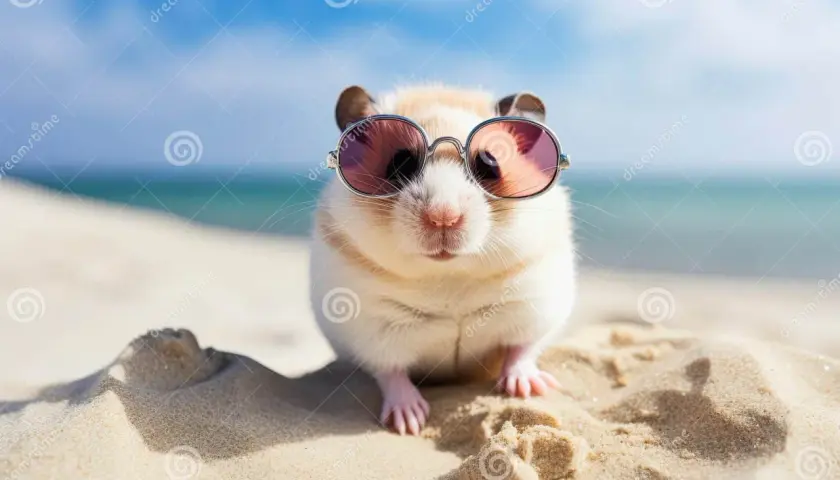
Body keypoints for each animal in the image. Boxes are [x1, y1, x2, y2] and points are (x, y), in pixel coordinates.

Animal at [309, 84, 576, 435]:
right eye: (400, 164)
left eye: (489, 164)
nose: (443, 217)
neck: (449, 275)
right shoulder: (372, 326)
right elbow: (390, 371)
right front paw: (409, 423)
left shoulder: (533, 305)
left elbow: (523, 348)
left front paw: (529, 390)